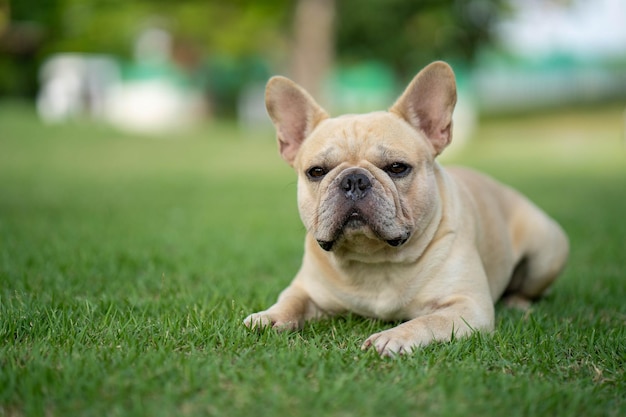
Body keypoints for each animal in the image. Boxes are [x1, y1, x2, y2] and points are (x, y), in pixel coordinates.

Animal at [241, 61, 568, 354]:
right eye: (316, 172)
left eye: (397, 167)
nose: (354, 179)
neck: (375, 262)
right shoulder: (305, 289)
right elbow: (290, 300)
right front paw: (269, 317)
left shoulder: (467, 306)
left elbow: (429, 321)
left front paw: (392, 338)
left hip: (547, 251)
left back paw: (518, 302)